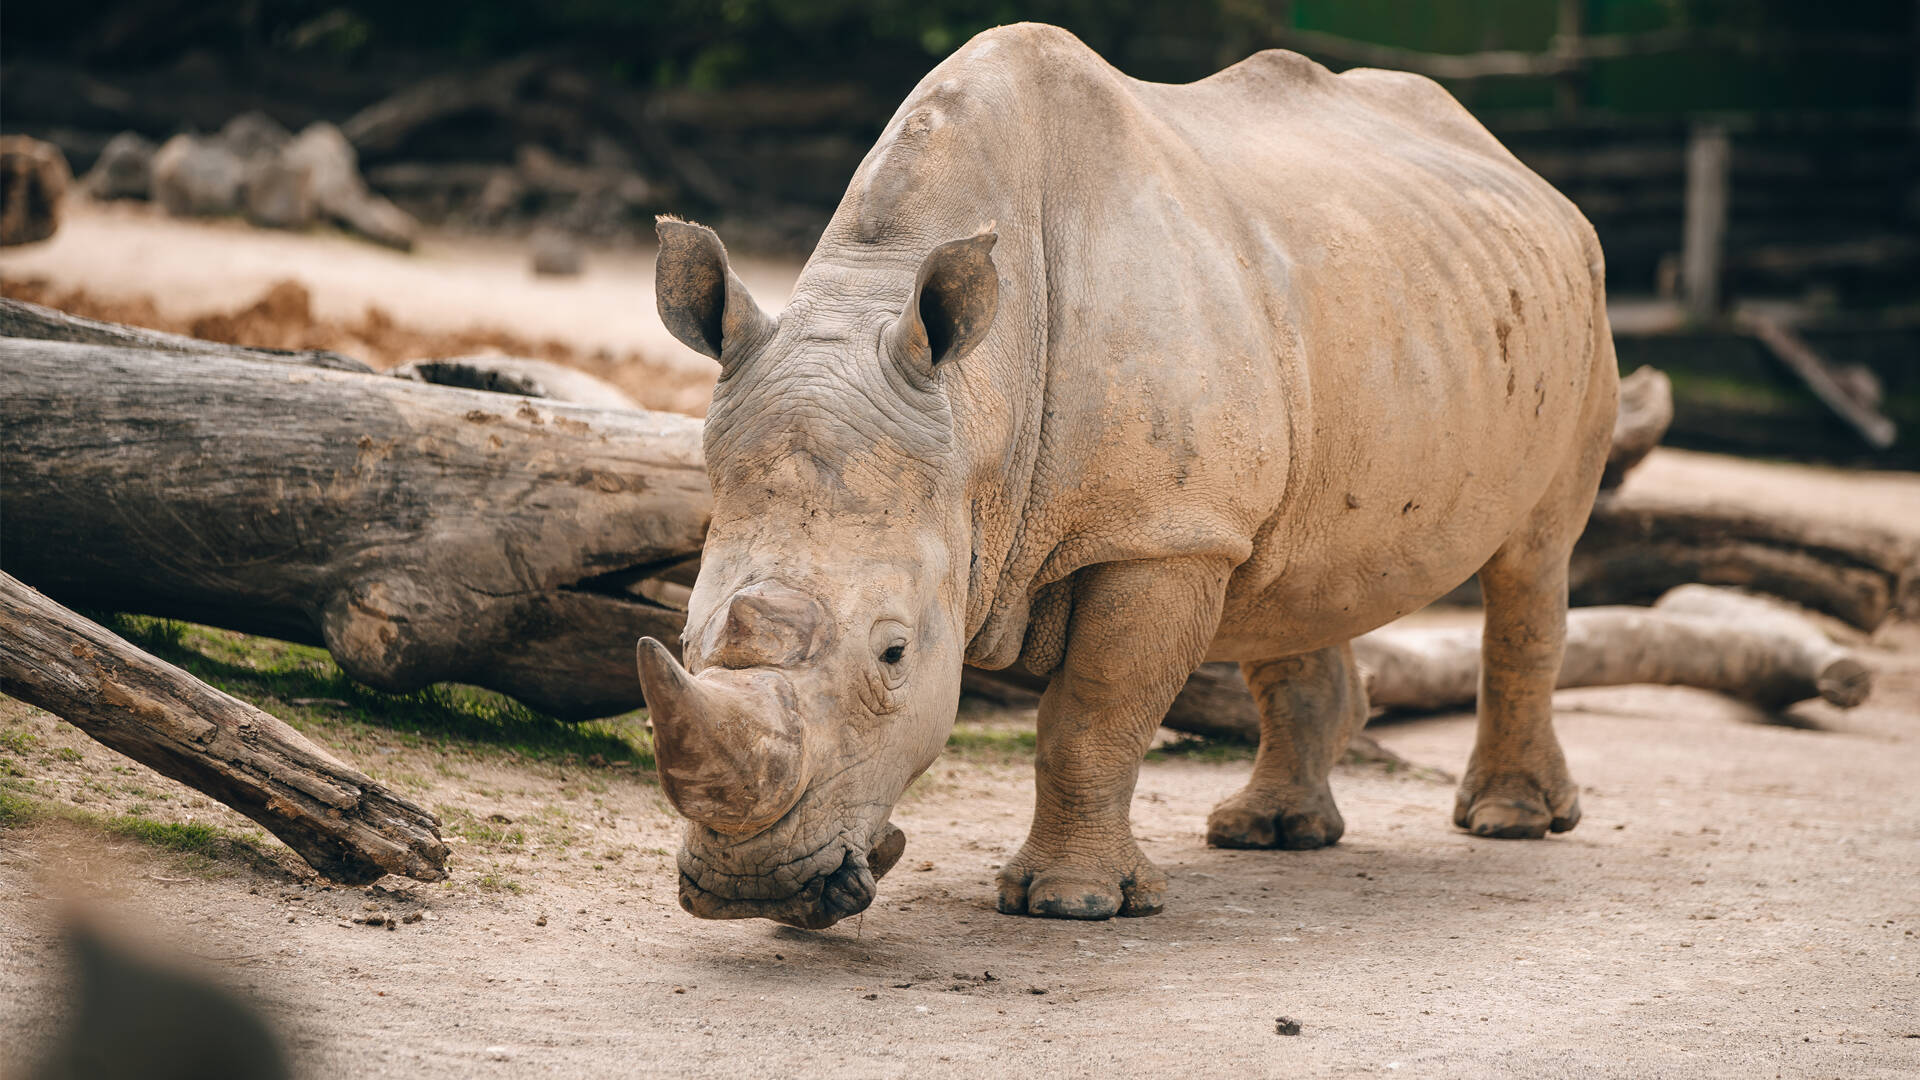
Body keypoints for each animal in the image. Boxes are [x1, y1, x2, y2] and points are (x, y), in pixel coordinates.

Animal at [638, 23, 1617, 928]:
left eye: (895, 654)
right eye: (683, 634)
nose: (750, 889)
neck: (973, 414)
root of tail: (1521, 167)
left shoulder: (1160, 534)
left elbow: (1093, 713)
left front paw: (1070, 903)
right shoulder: (1168, 516)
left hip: (1580, 301)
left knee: (1532, 559)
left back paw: (1509, 821)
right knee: (1292, 572)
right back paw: (1272, 833)